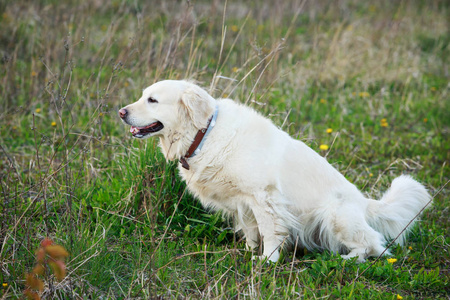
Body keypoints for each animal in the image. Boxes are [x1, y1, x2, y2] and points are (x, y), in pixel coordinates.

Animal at [118, 80, 430, 262]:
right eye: (142, 97)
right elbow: (250, 230)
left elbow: (269, 232)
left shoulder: (264, 197)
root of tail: (365, 203)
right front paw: (249, 252)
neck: (204, 133)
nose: (121, 112)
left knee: (376, 245)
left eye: (153, 100)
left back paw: (348, 259)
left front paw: (268, 261)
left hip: (336, 216)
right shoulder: (243, 202)